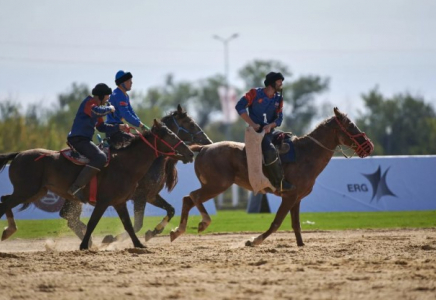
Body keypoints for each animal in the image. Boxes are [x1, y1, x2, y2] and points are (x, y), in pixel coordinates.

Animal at [0, 118, 194, 250]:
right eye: (171, 135)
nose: (190, 153)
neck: (125, 165)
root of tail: (18, 154)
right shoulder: (107, 201)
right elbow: (94, 222)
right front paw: (86, 245)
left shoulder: (121, 202)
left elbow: (129, 225)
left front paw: (138, 244)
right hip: (26, 191)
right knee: (5, 204)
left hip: (35, 192)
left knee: (5, 199)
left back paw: (9, 229)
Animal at [59, 104, 213, 245]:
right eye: (191, 123)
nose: (208, 141)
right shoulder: (140, 196)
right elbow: (137, 225)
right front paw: (110, 238)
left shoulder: (151, 195)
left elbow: (171, 210)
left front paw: (154, 231)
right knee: (69, 217)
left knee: (68, 217)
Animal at [169, 107, 372, 246]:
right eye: (350, 126)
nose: (369, 146)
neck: (305, 154)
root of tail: (204, 148)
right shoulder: (289, 196)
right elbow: (276, 223)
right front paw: (254, 240)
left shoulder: (297, 198)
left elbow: (296, 224)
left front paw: (301, 244)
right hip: (217, 186)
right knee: (193, 196)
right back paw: (203, 223)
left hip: (213, 186)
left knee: (188, 199)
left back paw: (177, 231)